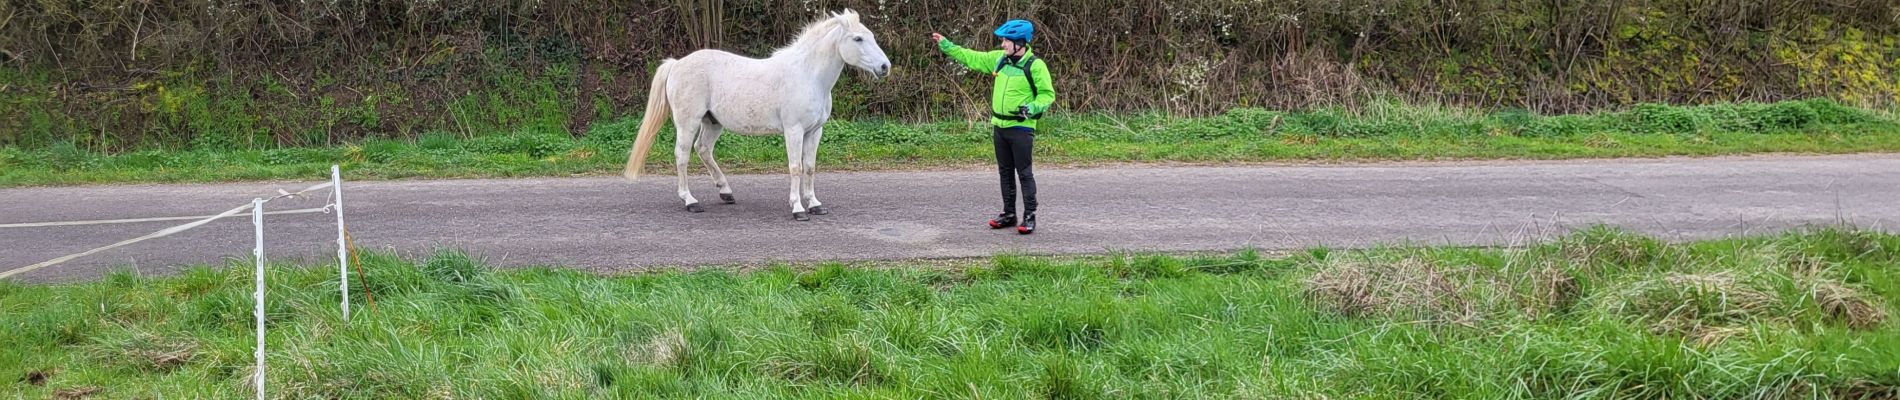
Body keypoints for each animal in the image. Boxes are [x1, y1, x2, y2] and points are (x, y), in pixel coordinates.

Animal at [623, 8, 889, 221]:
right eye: (858, 38)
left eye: (871, 36)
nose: (885, 67)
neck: (808, 75)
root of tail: (676, 64)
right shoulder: (794, 130)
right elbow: (795, 167)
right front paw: (798, 209)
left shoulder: (814, 131)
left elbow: (810, 167)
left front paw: (815, 204)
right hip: (688, 122)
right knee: (682, 155)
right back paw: (690, 201)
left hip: (713, 123)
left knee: (703, 149)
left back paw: (726, 192)